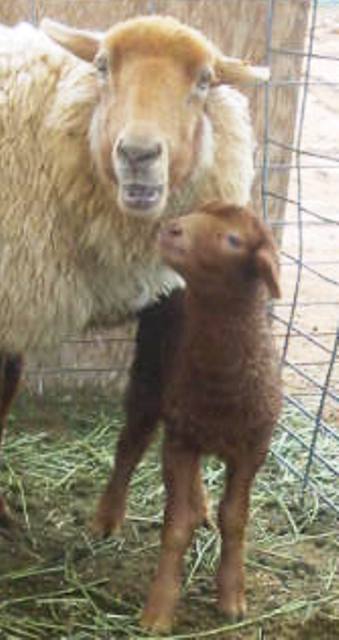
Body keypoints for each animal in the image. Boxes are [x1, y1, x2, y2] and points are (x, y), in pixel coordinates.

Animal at [94, 204, 282, 632]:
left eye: (233, 239)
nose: (171, 229)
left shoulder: (252, 448)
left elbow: (235, 519)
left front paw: (232, 598)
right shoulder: (181, 440)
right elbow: (176, 526)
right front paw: (158, 610)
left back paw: (202, 508)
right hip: (149, 381)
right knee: (129, 447)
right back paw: (107, 517)